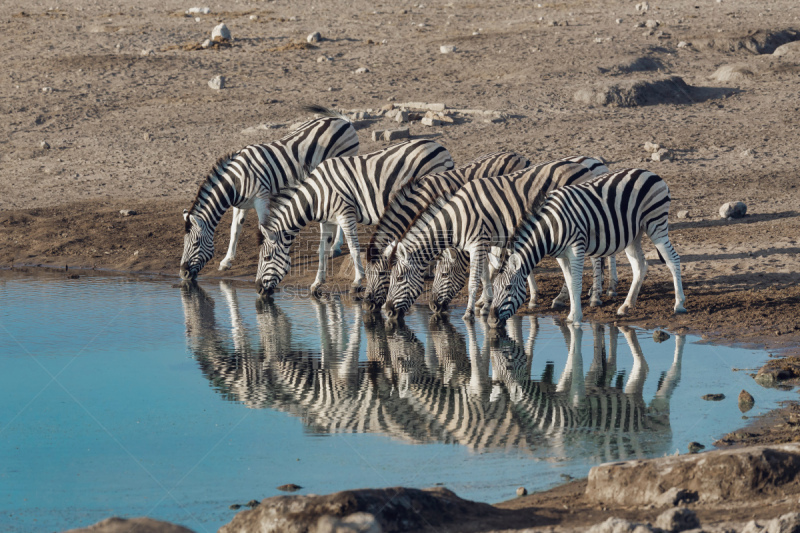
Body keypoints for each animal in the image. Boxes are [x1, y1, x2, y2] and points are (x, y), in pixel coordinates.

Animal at [181, 106, 360, 284]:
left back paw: (336, 246)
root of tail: (343, 121)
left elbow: (264, 227)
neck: (235, 181)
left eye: (195, 244)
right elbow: (235, 229)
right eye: (184, 243)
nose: (183, 273)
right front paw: (227, 260)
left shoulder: (262, 199)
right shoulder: (240, 204)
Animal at [258, 138, 456, 296]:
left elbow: (353, 248)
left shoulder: (346, 214)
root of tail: (441, 147)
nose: (258, 288)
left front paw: (357, 282)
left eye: (266, 258)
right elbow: (322, 250)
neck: (316, 195)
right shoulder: (327, 221)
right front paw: (317, 283)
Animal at [382, 158, 612, 322]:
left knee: (595, 258)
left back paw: (593, 297)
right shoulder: (483, 243)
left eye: (399, 278)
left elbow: (474, 281)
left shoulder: (478, 243)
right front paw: (486, 304)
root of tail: (583, 166)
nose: (388, 311)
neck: (458, 219)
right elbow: (485, 275)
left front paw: (470, 313)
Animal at [488, 168, 688, 326]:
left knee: (673, 260)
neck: (551, 228)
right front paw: (571, 314)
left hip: (656, 224)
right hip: (635, 233)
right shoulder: (561, 255)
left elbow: (576, 283)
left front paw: (576, 317)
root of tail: (651, 173)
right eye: (494, 288)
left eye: (508, 288)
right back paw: (626, 306)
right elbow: (569, 282)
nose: (491, 320)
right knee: (640, 265)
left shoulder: (576, 248)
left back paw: (679, 304)